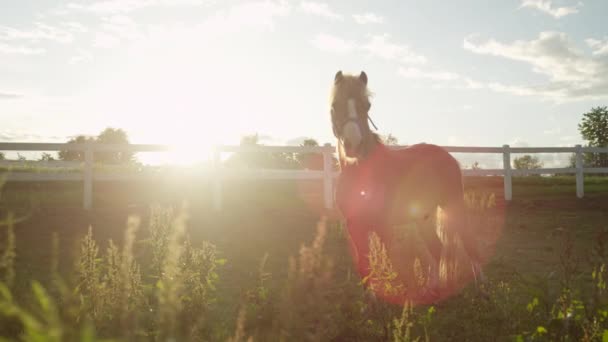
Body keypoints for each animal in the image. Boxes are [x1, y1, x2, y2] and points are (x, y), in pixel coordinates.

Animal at [328, 69, 484, 302]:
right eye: (335, 104)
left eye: (367, 105)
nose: (353, 145)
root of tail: (447, 156)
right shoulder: (354, 226)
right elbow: (364, 264)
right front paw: (370, 301)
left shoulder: (383, 226)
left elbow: (399, 266)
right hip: (424, 216)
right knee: (436, 248)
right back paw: (432, 288)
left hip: (453, 206)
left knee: (468, 241)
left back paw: (481, 286)